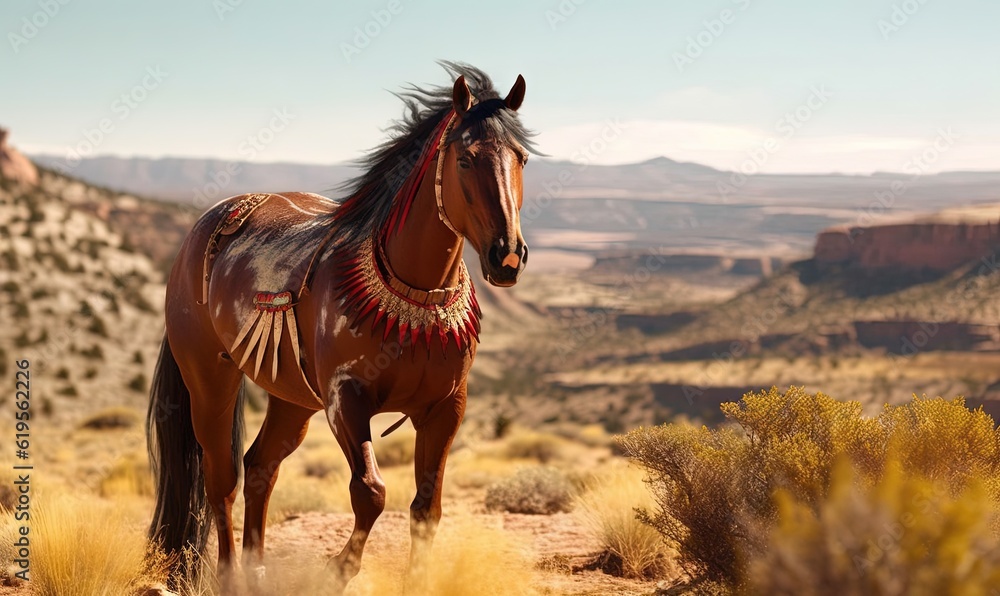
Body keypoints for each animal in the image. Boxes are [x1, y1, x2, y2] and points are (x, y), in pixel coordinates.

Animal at [146, 62, 535, 591]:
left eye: (522, 158)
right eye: (466, 159)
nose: (508, 257)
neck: (414, 294)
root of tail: (201, 230)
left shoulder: (446, 407)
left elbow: (426, 509)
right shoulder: (344, 400)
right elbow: (370, 492)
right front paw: (337, 569)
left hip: (292, 397)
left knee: (260, 466)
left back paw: (258, 570)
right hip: (210, 378)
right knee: (222, 478)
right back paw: (231, 577)